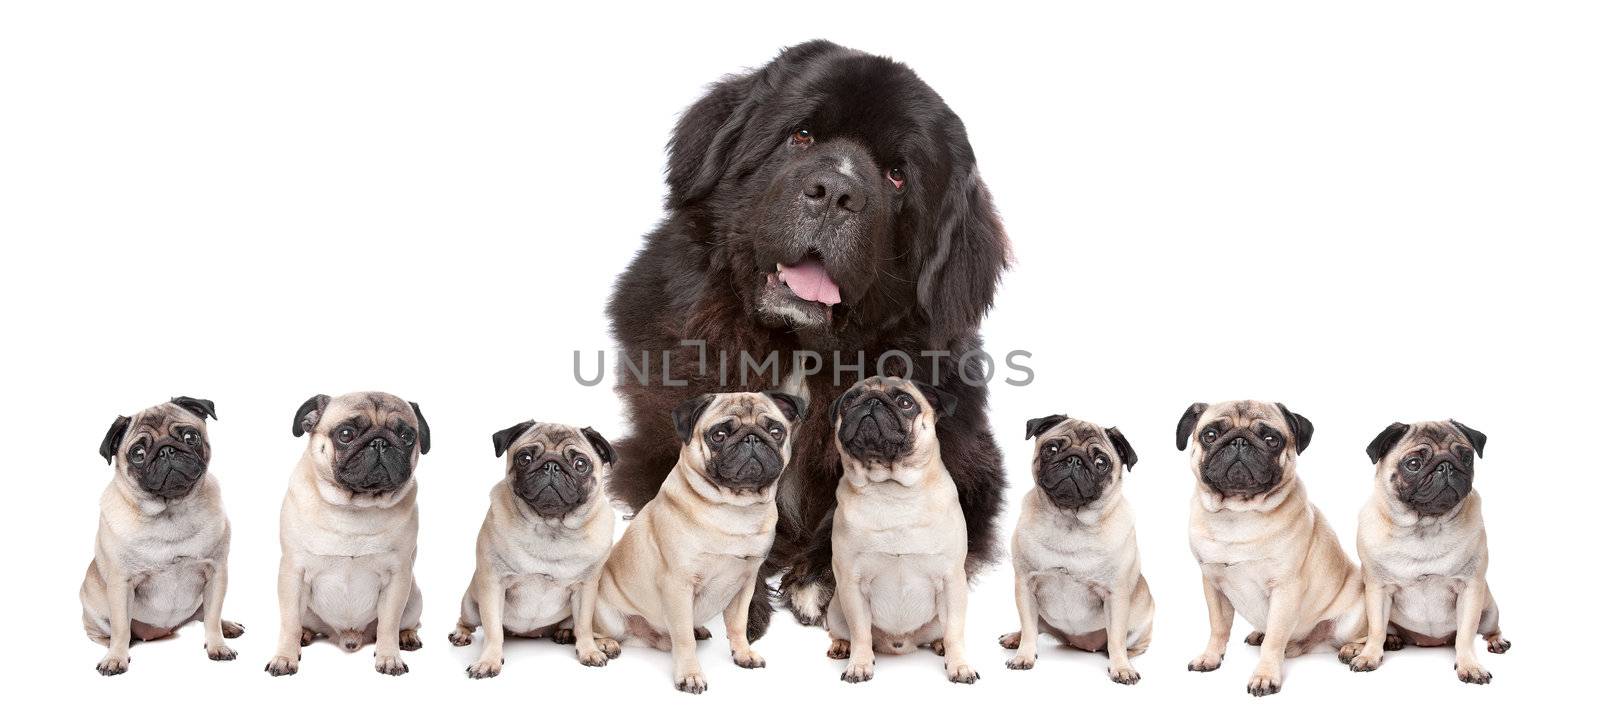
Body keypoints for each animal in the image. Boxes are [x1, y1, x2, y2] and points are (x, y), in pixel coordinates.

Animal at [604, 41, 1004, 640]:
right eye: (802, 136)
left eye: (896, 176)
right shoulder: (656, 435)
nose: (835, 190)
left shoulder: (968, 461)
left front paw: (823, 577)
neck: (796, 353)